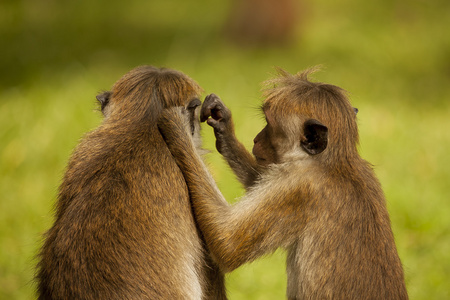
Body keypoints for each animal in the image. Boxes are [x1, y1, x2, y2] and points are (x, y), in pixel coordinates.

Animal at [157, 68, 408, 300]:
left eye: (269, 125)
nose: (256, 139)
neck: (335, 162)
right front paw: (223, 126)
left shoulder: (297, 188)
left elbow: (226, 244)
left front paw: (179, 130)